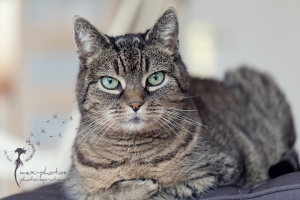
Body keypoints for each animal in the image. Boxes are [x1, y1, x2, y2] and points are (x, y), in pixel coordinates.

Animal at [64, 7, 298, 200]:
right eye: (110, 82)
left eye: (155, 78)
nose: (135, 104)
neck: (133, 155)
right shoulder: (75, 188)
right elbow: (101, 194)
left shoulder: (218, 173)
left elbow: (167, 190)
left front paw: (142, 187)